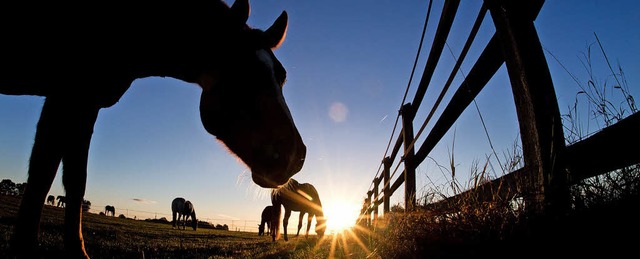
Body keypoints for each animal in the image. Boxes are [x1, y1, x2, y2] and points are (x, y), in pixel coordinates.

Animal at [1, 1, 308, 258]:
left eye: (282, 77)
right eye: (243, 73)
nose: (296, 157)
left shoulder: (85, 105)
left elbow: (76, 180)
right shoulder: (66, 97)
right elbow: (42, 174)